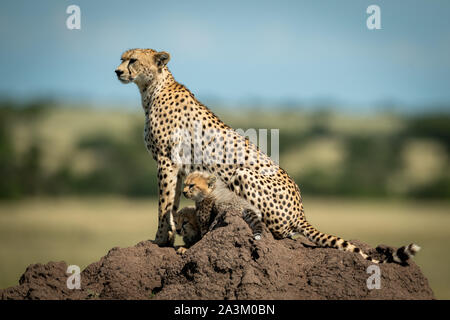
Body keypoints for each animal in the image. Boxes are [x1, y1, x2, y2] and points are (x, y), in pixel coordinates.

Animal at [115, 48, 418, 264]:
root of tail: (301, 210)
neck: (151, 89)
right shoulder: (176, 167)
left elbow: (164, 203)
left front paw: (159, 240)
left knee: (278, 231)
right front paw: (169, 236)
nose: (116, 71)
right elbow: (173, 202)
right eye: (121, 59)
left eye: (132, 60)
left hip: (243, 173)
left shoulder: (167, 161)